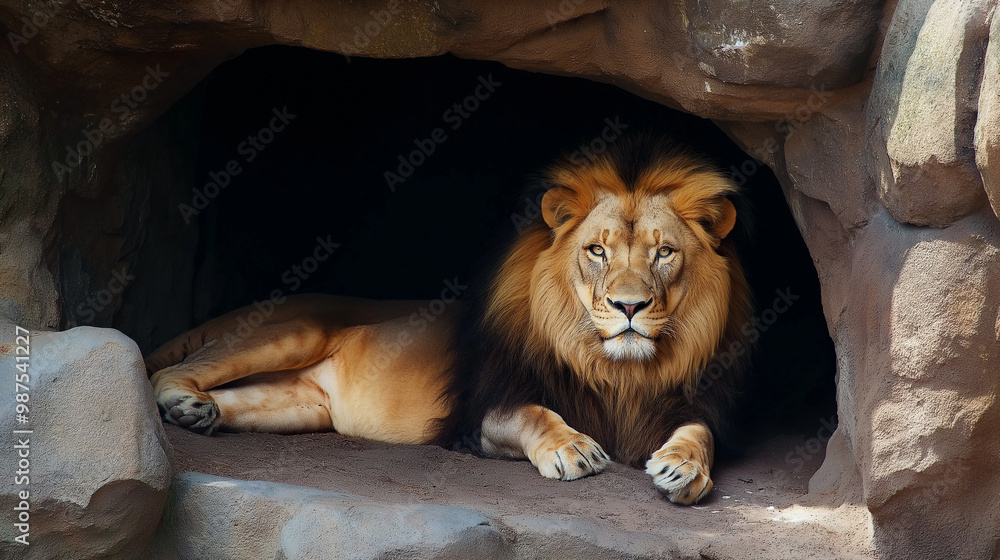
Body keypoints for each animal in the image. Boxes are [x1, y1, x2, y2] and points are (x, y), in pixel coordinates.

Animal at [146, 137, 751, 505]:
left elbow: (699, 434)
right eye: (597, 252)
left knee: (240, 400)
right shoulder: (480, 414)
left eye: (664, 252)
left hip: (299, 405)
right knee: (165, 371)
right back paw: (182, 399)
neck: (618, 372)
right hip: (294, 332)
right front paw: (572, 448)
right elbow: (536, 415)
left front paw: (683, 468)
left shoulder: (692, 404)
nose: (630, 307)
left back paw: (199, 412)